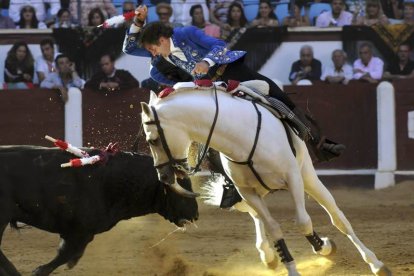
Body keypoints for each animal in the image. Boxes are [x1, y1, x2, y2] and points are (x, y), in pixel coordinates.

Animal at [0, 146, 198, 274]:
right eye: (182, 192)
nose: (195, 215)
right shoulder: (81, 231)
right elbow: (64, 254)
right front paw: (39, 270)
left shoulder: (79, 233)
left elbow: (70, 254)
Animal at [140, 83, 392, 276]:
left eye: (152, 140)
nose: (164, 176)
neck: (240, 136)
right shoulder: (246, 191)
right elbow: (273, 227)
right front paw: (290, 267)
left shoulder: (293, 178)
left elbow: (304, 222)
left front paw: (324, 247)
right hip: (253, 193)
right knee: (258, 219)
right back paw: (268, 255)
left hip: (308, 176)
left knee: (338, 218)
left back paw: (375, 263)